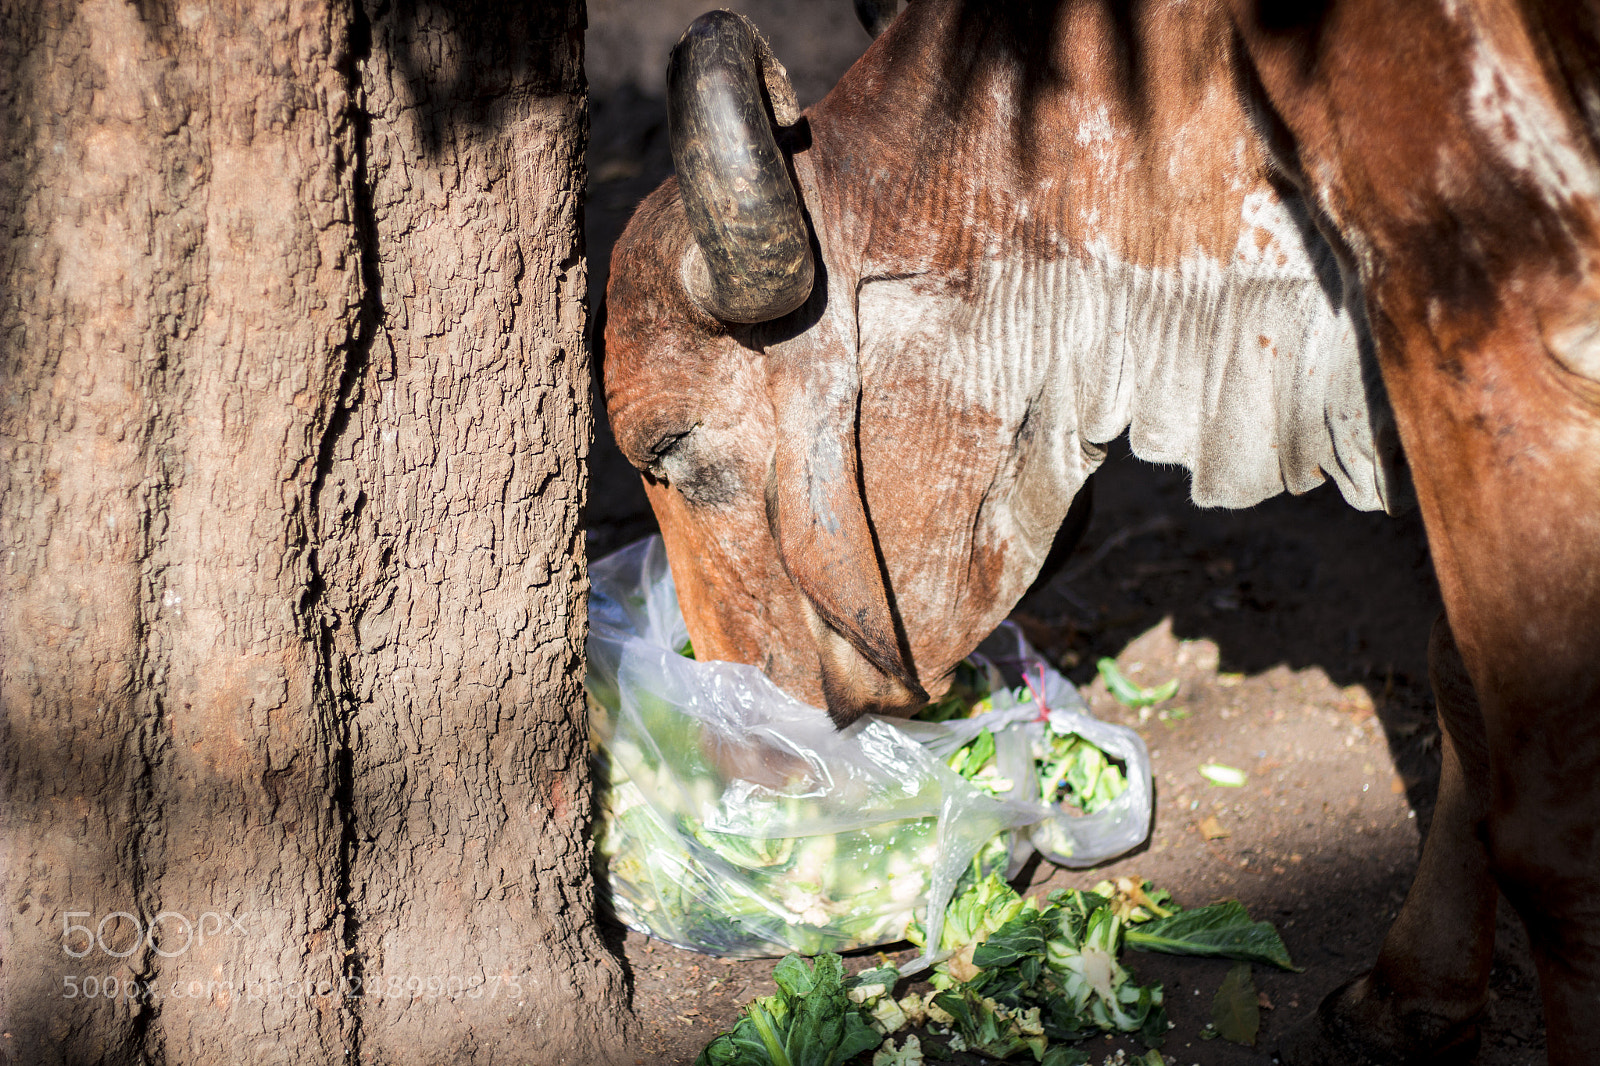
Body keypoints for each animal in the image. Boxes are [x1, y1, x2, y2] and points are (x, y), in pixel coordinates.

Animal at [600, 2, 1600, 1063]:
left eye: (670, 445)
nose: (740, 742)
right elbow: (1464, 694)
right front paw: (1412, 998)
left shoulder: (1484, 315)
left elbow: (1552, 836)